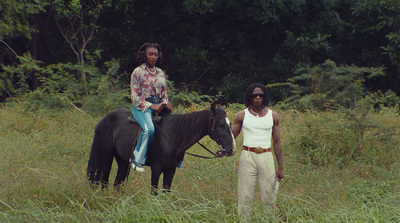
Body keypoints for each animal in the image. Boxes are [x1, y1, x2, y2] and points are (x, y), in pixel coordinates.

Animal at [86, 103, 236, 193]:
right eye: (221, 124)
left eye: (229, 123)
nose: (232, 150)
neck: (173, 135)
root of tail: (103, 120)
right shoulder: (156, 168)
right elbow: (154, 193)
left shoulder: (171, 170)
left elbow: (165, 192)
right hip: (106, 156)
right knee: (103, 180)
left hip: (122, 160)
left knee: (117, 182)